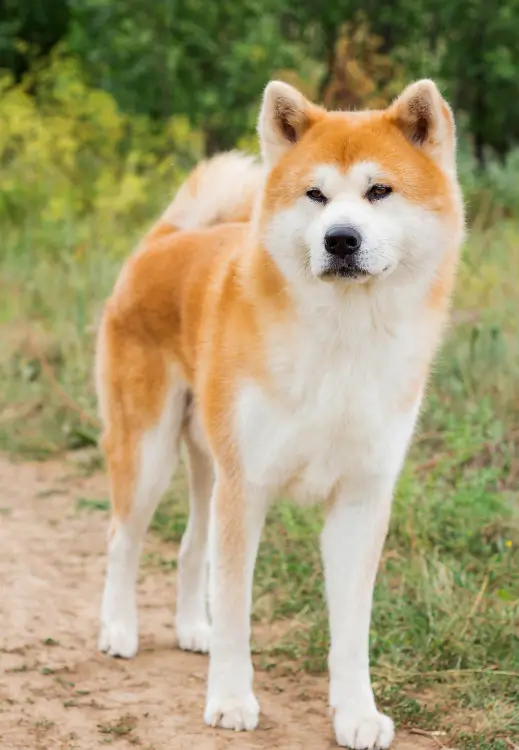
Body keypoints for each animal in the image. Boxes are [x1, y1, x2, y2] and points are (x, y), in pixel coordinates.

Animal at [96, 79, 464, 748]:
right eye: (315, 194)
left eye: (379, 191)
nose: (340, 239)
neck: (344, 339)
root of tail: (165, 241)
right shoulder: (249, 490)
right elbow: (237, 613)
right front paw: (231, 700)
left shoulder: (359, 501)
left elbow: (351, 631)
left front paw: (356, 713)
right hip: (149, 453)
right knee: (122, 540)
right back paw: (118, 630)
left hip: (208, 466)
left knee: (189, 545)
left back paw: (191, 628)